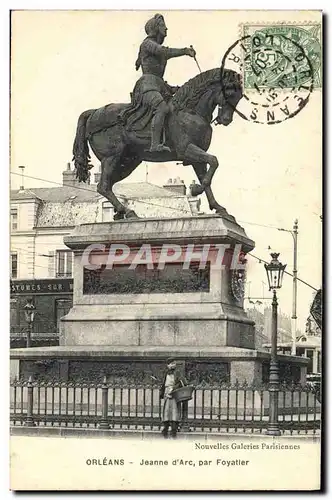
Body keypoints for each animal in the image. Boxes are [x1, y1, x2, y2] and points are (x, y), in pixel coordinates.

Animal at [72, 68, 241, 219]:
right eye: (229, 92)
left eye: (239, 97)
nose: (226, 120)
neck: (189, 111)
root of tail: (93, 113)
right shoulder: (187, 150)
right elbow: (213, 162)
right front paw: (196, 190)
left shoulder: (196, 158)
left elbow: (207, 177)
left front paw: (219, 208)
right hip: (111, 158)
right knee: (103, 186)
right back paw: (128, 212)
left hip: (126, 163)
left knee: (108, 185)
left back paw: (121, 213)